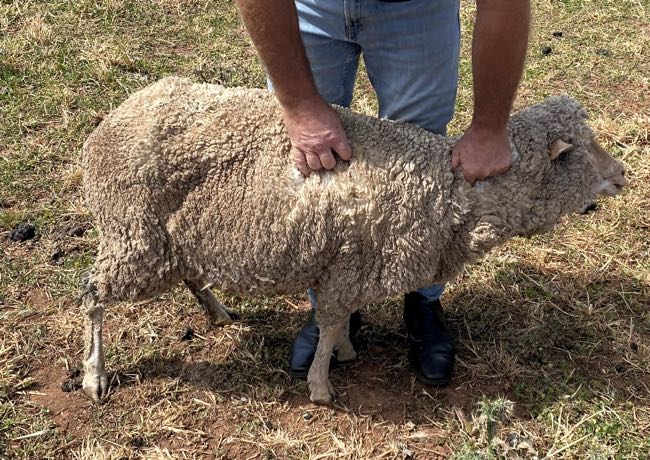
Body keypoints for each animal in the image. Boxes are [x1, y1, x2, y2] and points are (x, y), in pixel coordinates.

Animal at [80, 76, 627, 405]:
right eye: (579, 151)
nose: (622, 175)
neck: (444, 188)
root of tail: (113, 119)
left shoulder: (347, 268)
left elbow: (337, 323)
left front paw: (341, 355)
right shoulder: (346, 270)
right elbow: (328, 325)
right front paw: (322, 384)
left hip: (173, 237)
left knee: (187, 274)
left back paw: (215, 310)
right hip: (132, 235)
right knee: (92, 296)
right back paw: (93, 374)